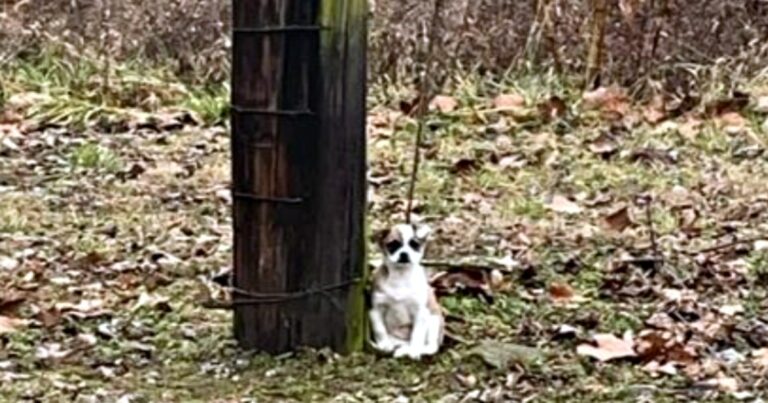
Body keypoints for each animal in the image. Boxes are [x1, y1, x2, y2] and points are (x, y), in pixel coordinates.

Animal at [370, 224, 448, 360]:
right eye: (393, 244)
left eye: (414, 244)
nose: (404, 254)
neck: (401, 276)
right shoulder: (375, 311)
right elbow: (380, 330)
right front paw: (384, 344)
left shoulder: (420, 313)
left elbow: (417, 334)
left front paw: (415, 351)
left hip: (434, 321)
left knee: (431, 347)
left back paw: (415, 350)